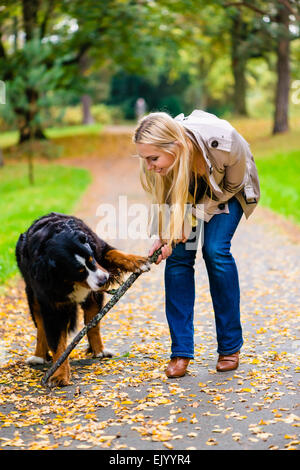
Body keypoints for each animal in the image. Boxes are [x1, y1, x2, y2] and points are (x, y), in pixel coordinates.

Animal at [15, 212, 149, 386]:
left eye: (91, 259)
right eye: (78, 271)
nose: (104, 280)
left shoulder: (97, 249)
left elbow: (113, 253)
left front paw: (138, 261)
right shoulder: (52, 307)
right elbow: (58, 344)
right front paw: (60, 375)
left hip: (93, 298)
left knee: (93, 325)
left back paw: (99, 351)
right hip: (33, 298)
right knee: (41, 328)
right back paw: (38, 356)